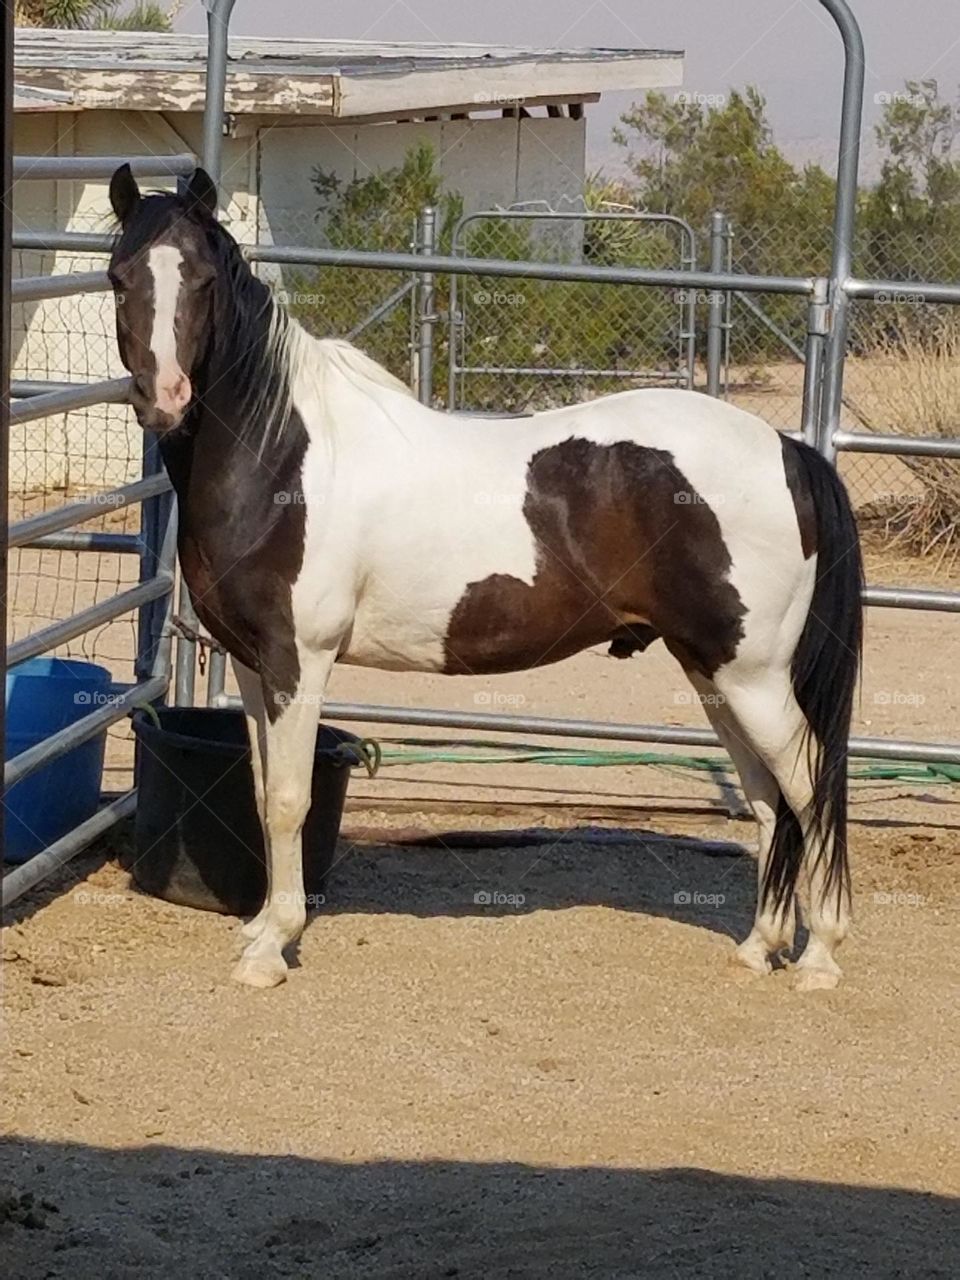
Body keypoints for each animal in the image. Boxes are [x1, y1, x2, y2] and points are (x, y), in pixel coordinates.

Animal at [107, 165, 863, 992]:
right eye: (119, 277)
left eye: (203, 280)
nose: (164, 399)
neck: (282, 456)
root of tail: (787, 449)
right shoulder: (253, 666)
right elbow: (260, 785)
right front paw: (258, 931)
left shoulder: (298, 661)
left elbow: (286, 799)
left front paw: (273, 948)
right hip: (713, 670)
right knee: (767, 797)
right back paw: (760, 945)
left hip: (752, 675)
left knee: (809, 786)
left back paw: (821, 957)